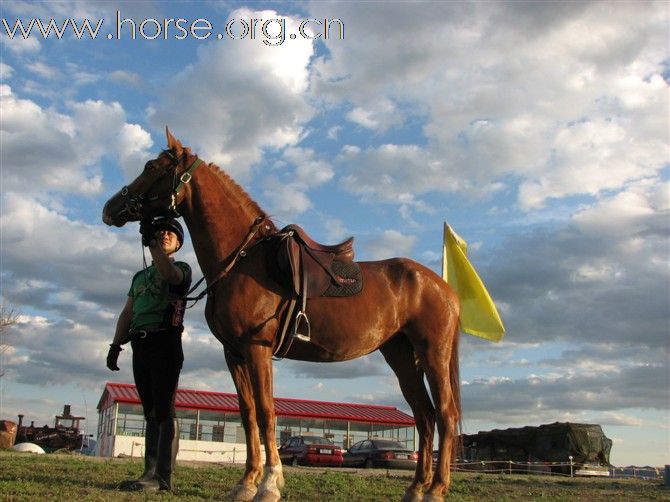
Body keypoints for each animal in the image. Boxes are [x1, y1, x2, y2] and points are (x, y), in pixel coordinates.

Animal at [103, 128, 462, 502]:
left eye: (151, 166)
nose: (109, 208)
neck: (241, 260)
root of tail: (442, 287)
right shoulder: (234, 354)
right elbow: (248, 414)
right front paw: (246, 483)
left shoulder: (257, 349)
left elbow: (267, 413)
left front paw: (269, 484)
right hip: (402, 356)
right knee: (425, 417)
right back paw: (416, 488)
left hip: (433, 354)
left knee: (445, 416)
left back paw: (436, 489)